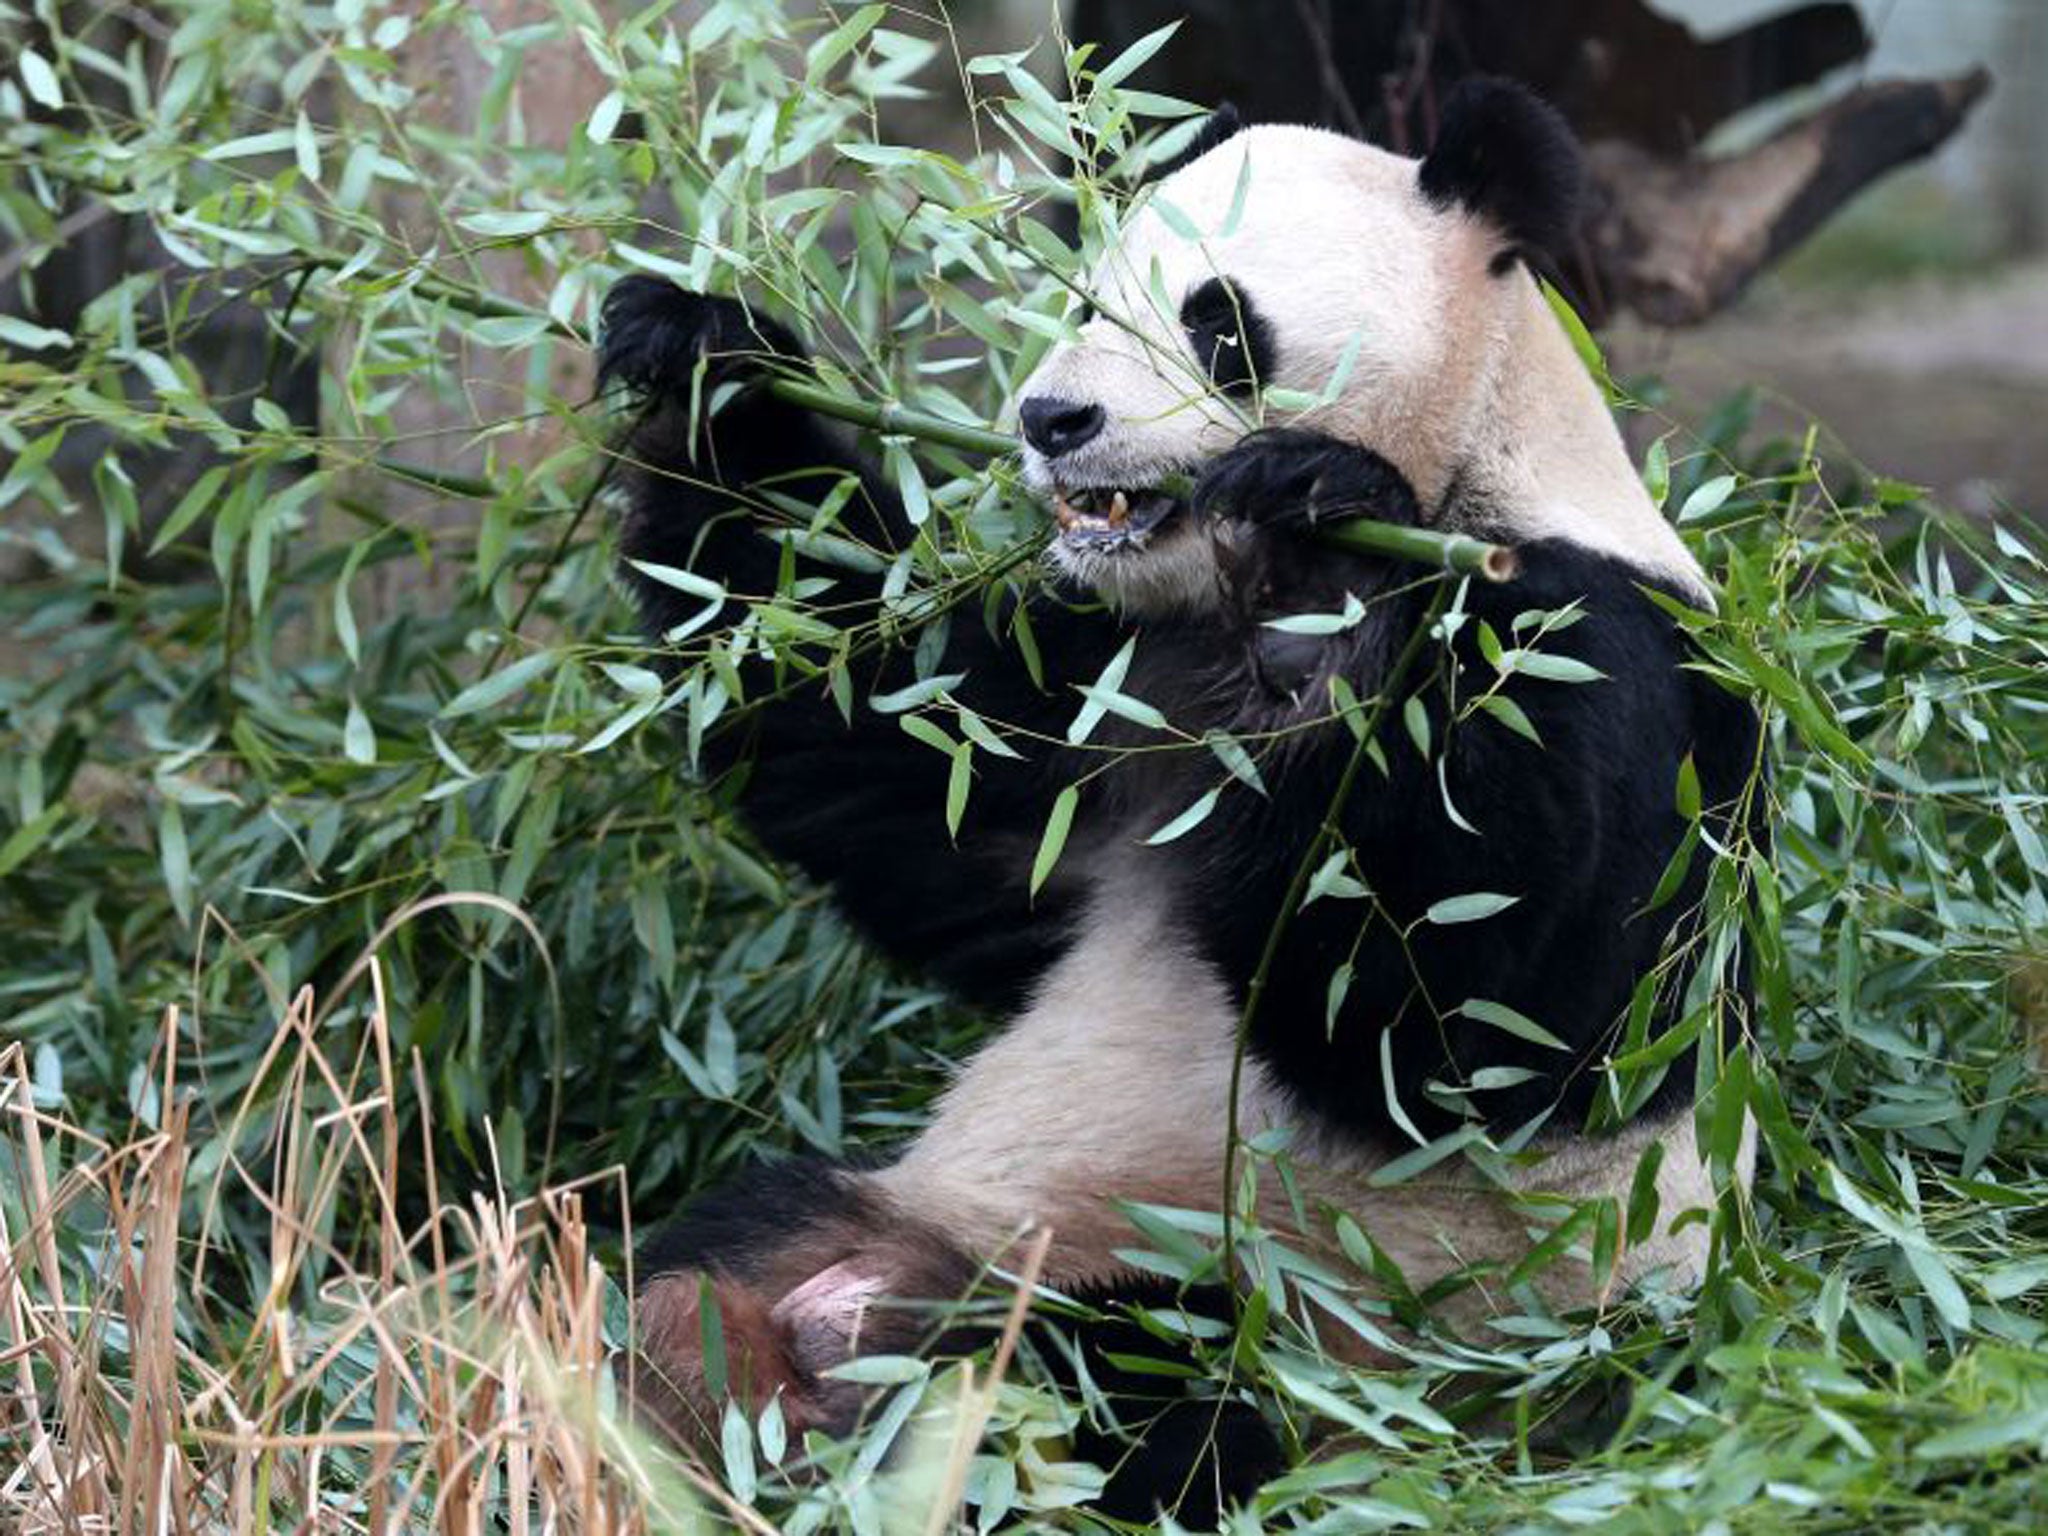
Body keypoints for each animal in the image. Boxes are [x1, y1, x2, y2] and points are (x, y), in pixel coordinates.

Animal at [593, 81, 1761, 1531]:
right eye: (1086, 297)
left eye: (1217, 320)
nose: (1050, 419)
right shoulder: (1110, 689)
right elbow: (891, 741)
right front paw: (706, 363)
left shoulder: (1605, 661)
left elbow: (1487, 1016)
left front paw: (1316, 559)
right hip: (871, 1213)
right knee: (688, 1258)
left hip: (1312, 1343)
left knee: (1145, 1406)